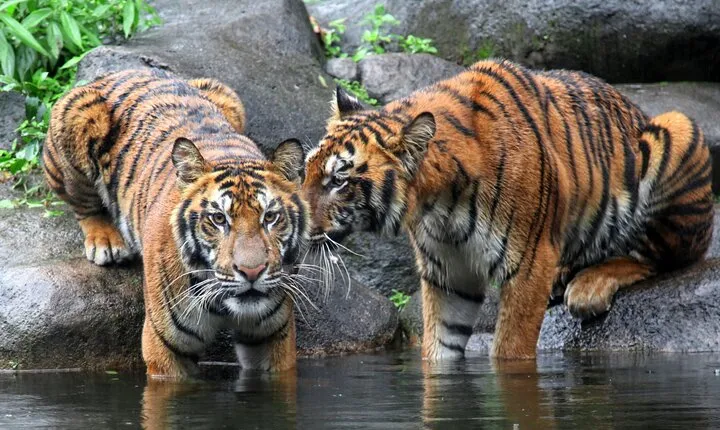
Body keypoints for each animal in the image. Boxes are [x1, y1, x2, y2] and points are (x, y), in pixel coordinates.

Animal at [42, 69, 309, 377]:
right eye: (219, 219)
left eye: (270, 217)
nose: (251, 272)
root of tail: (121, 72)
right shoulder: (166, 346)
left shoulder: (273, 337)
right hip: (75, 118)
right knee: (83, 204)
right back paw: (106, 242)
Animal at [282, 59, 713, 361]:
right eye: (308, 171)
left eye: (339, 181)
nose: (294, 223)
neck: (439, 204)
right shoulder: (447, 274)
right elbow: (438, 350)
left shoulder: (529, 263)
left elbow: (510, 350)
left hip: (677, 129)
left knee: (666, 256)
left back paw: (589, 286)